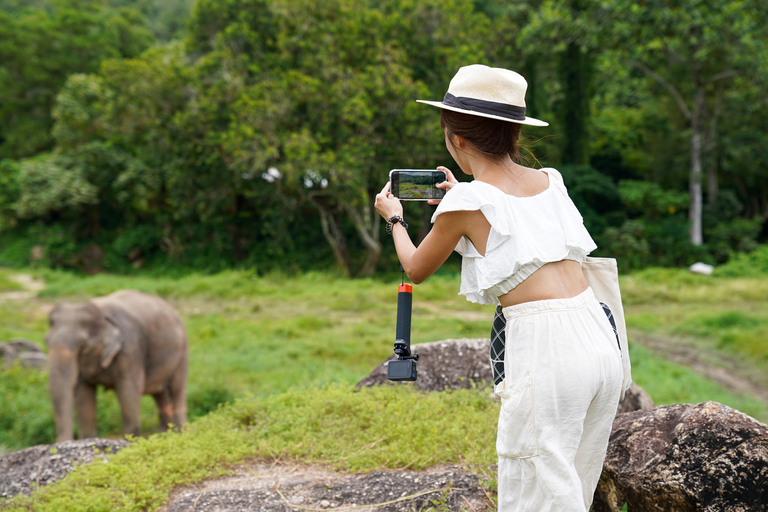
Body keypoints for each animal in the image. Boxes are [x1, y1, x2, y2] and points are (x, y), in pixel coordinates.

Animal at [45, 290, 188, 442]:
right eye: (45, 341)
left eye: (83, 347)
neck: (99, 311)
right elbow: (84, 396)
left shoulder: (130, 350)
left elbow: (128, 392)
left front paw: (131, 441)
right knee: (160, 395)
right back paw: (165, 435)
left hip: (183, 352)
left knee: (176, 391)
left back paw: (180, 433)